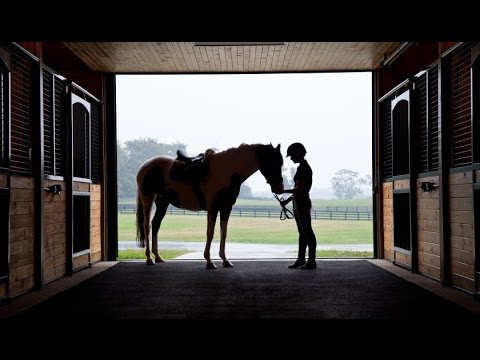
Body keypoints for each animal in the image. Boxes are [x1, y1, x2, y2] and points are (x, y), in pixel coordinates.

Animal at [135, 143, 284, 268]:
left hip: (162, 203)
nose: (279, 188)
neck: (226, 171)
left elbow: (224, 233)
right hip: (148, 199)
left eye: (280, 162)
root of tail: (145, 166)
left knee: (155, 224)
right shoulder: (213, 208)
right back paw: (149, 259)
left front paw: (225, 260)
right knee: (147, 226)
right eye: (271, 161)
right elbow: (210, 233)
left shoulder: (226, 208)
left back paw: (158, 256)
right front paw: (209, 261)